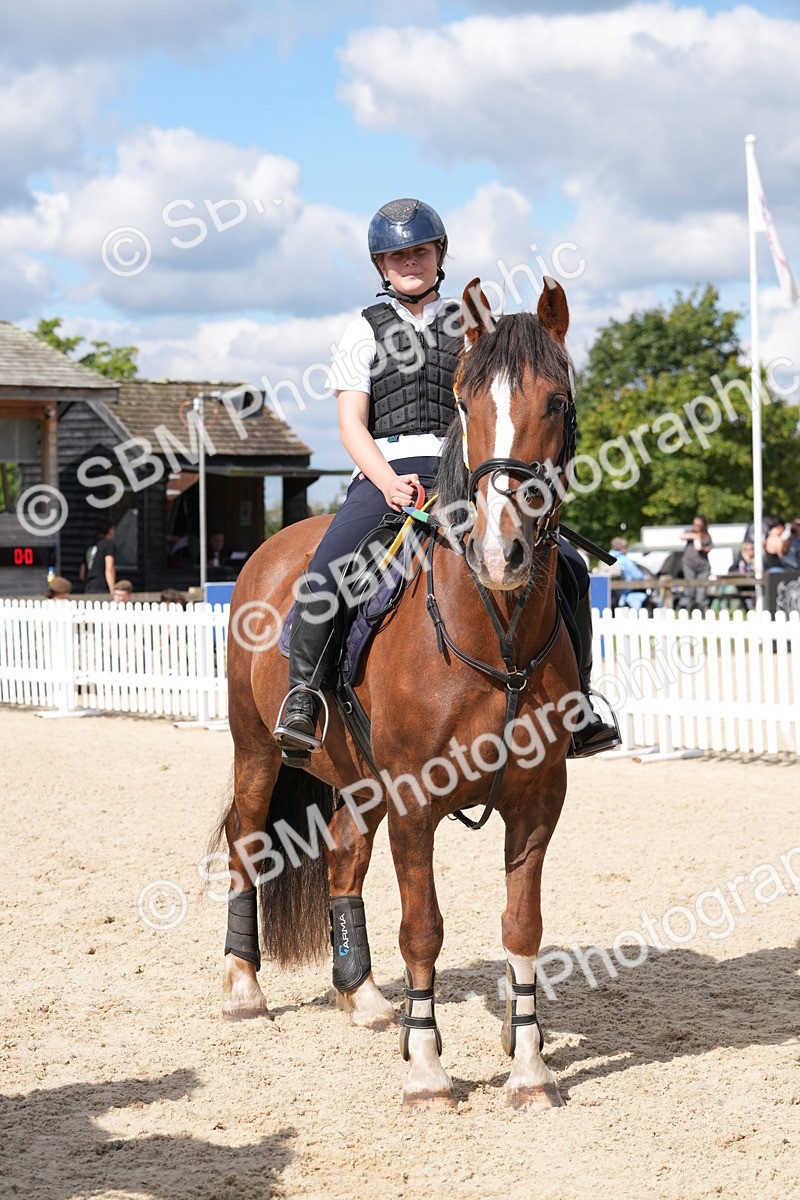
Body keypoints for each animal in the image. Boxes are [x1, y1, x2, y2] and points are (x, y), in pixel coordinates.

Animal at [214, 276, 583, 1108]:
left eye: (555, 401)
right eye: (467, 404)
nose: (501, 552)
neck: (495, 633)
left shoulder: (538, 801)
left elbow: (522, 927)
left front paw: (528, 1065)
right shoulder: (416, 802)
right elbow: (424, 929)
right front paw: (427, 1068)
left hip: (357, 781)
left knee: (343, 854)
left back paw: (362, 995)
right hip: (256, 751)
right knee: (247, 843)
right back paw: (245, 987)